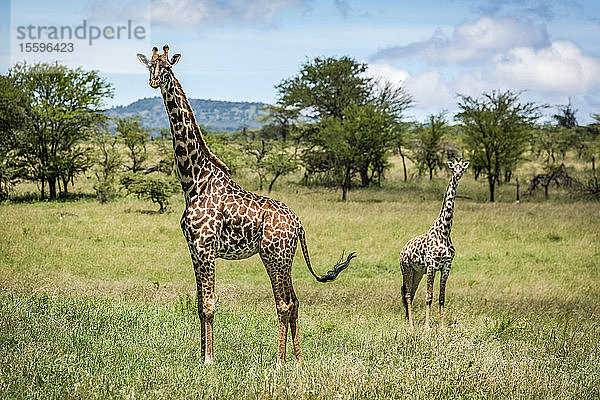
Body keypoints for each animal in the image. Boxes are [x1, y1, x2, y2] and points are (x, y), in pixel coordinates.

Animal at [136, 45, 356, 364]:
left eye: (167, 68)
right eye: (149, 66)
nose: (153, 82)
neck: (193, 181)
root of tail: (299, 224)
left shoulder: (205, 249)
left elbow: (209, 306)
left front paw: (209, 359)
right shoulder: (193, 250)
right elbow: (199, 304)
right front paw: (199, 356)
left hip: (273, 256)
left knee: (284, 303)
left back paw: (279, 362)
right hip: (285, 258)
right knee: (295, 300)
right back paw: (298, 360)